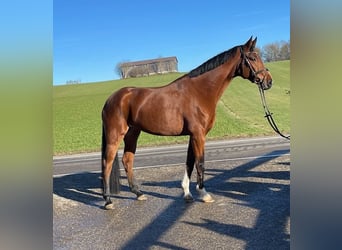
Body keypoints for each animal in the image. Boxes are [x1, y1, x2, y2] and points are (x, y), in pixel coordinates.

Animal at [101, 37, 272, 209]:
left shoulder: (193, 135)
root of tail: (111, 99)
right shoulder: (198, 135)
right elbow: (200, 163)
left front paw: (187, 193)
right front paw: (204, 194)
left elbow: (189, 162)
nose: (268, 81)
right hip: (115, 134)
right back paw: (108, 200)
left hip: (132, 133)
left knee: (127, 160)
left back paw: (138, 193)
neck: (200, 91)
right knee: (107, 163)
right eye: (252, 58)